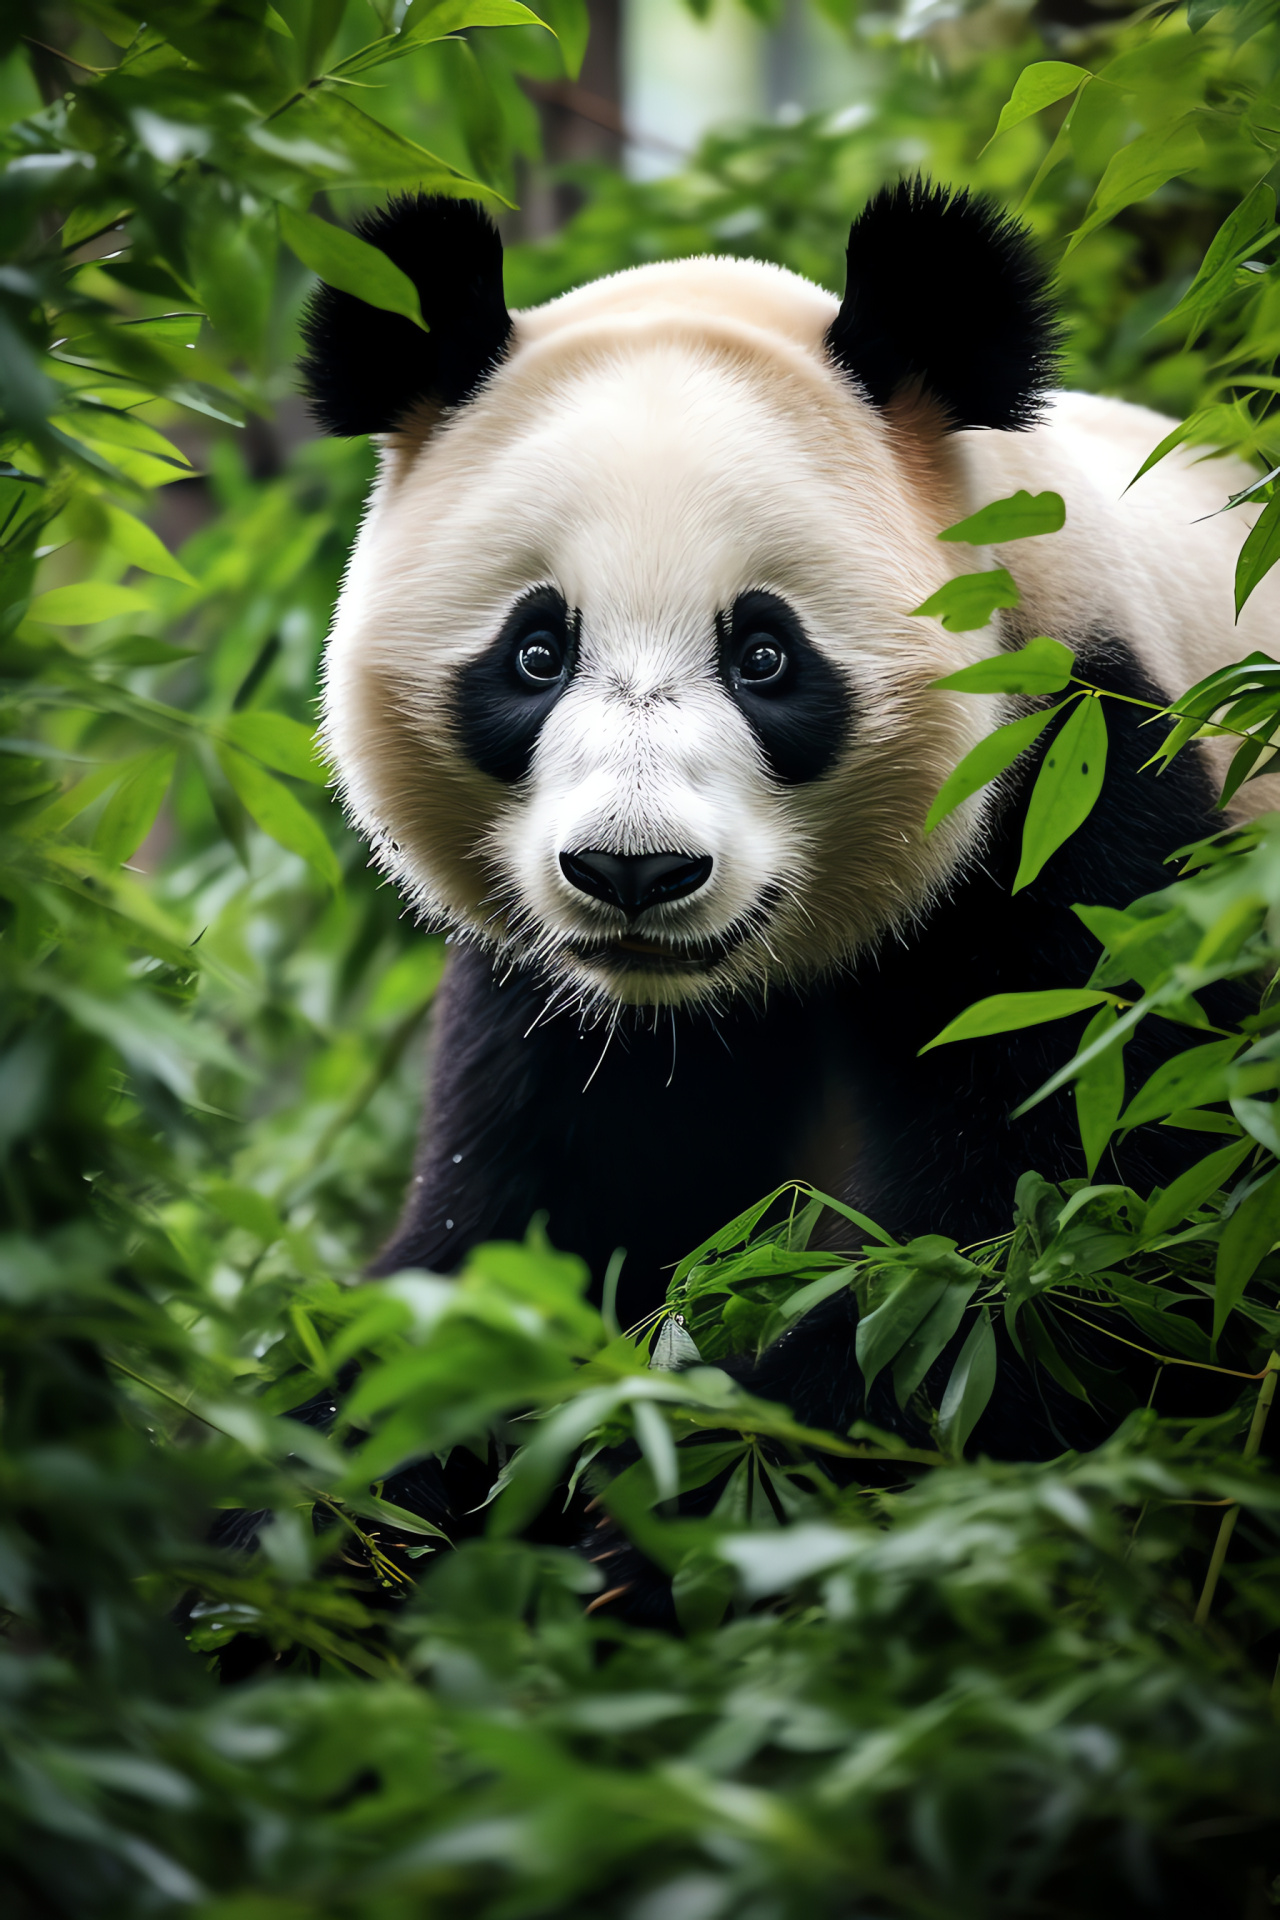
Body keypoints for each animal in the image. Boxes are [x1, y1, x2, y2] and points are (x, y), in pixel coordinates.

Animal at [303, 183, 1280, 1466]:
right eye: (535, 652)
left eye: (763, 656)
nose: (633, 872)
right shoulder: (555, 1005)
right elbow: (500, 1252)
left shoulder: (1073, 794)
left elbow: (1051, 1266)